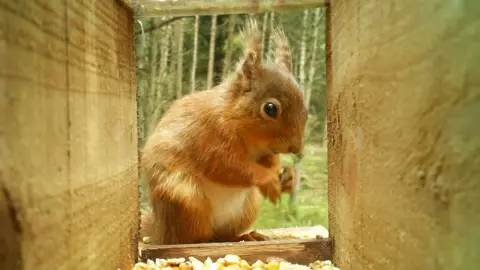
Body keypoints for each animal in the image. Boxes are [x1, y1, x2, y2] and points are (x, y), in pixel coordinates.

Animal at [141, 20, 310, 245]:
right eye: (270, 108)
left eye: (305, 108)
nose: (296, 148)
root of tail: (158, 230)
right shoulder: (208, 135)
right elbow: (228, 166)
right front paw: (268, 179)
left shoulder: (265, 151)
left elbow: (269, 161)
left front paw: (286, 177)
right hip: (186, 198)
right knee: (192, 237)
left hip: (246, 207)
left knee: (223, 234)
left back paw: (246, 235)